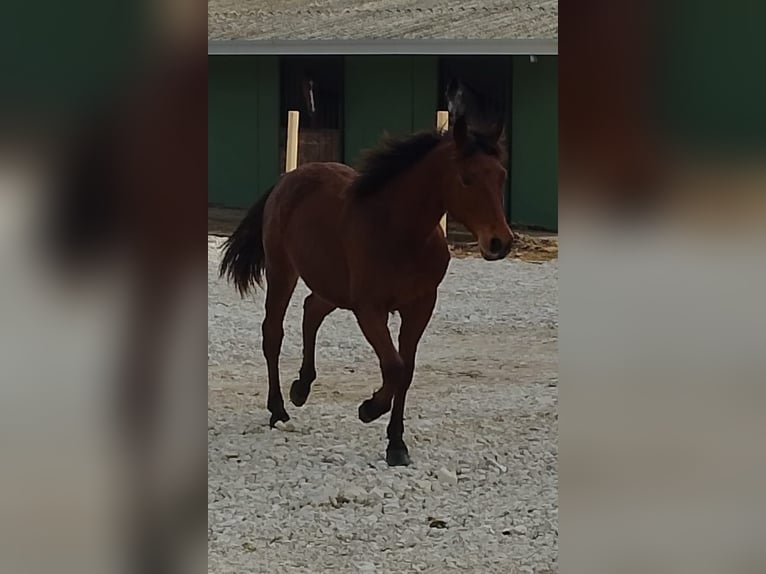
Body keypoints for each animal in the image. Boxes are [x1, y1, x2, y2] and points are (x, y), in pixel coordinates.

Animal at [219, 113, 516, 468]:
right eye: (466, 178)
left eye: (501, 176)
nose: (500, 242)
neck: (400, 233)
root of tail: (286, 180)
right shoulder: (370, 310)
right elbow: (394, 366)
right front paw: (369, 409)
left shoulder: (420, 307)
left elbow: (406, 370)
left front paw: (397, 444)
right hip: (283, 272)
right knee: (273, 333)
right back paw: (278, 410)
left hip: (332, 285)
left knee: (311, 310)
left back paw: (301, 388)